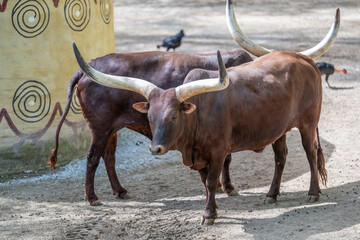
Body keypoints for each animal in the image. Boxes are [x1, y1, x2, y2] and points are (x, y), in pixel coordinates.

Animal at [49, 47, 253, 205]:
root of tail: (86, 69)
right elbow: (225, 158)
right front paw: (226, 187)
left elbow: (224, 158)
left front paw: (222, 186)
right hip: (100, 128)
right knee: (93, 157)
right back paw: (92, 197)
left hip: (111, 130)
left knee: (109, 157)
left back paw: (120, 191)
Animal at [74, 0, 338, 224]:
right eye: (149, 117)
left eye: (173, 116)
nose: (155, 149)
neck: (197, 116)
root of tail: (301, 58)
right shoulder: (199, 153)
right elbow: (204, 182)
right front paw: (216, 206)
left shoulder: (218, 150)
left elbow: (211, 181)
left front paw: (210, 213)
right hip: (279, 129)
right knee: (281, 157)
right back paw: (271, 194)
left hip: (308, 123)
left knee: (310, 152)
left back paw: (313, 192)